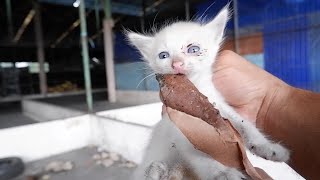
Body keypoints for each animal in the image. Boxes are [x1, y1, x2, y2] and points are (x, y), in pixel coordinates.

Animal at [127, 5, 290, 180]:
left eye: (193, 49)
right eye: (163, 55)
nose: (177, 64)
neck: (194, 91)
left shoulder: (219, 108)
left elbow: (244, 124)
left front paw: (267, 147)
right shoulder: (177, 128)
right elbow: (200, 155)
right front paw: (225, 173)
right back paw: (157, 170)